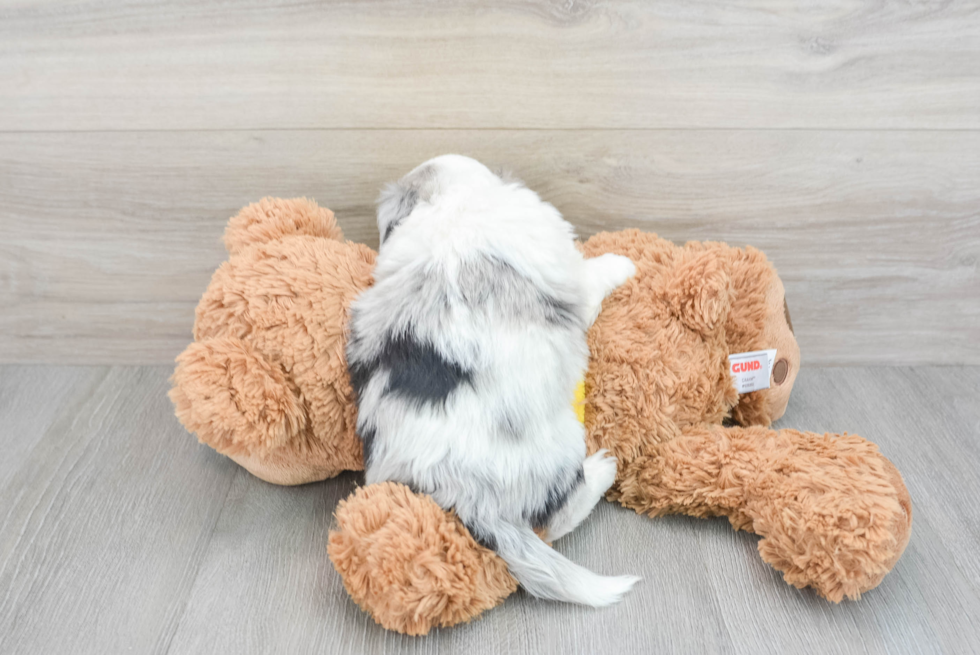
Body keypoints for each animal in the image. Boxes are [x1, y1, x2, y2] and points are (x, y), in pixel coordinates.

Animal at [348, 156, 640, 608]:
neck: (449, 204)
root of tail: (459, 490)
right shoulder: (573, 279)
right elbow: (595, 273)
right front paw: (624, 262)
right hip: (562, 443)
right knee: (556, 518)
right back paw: (602, 469)